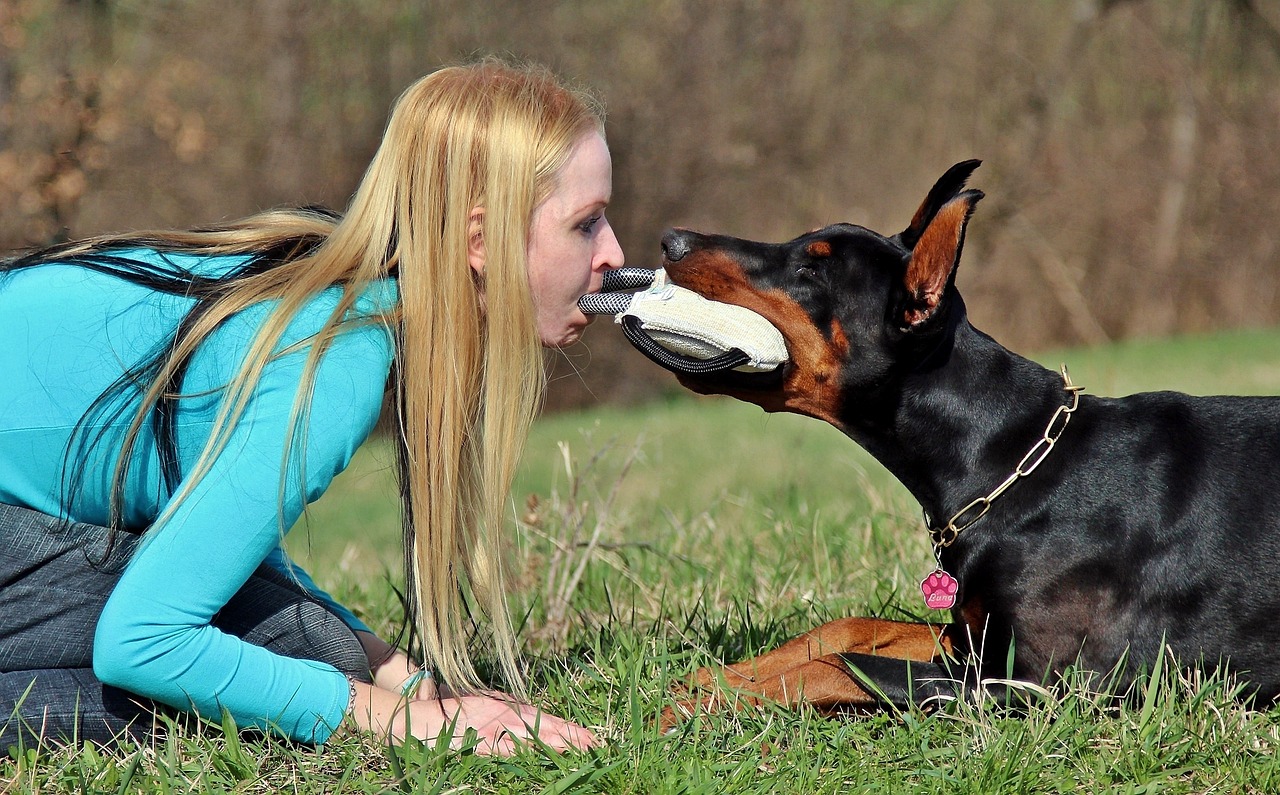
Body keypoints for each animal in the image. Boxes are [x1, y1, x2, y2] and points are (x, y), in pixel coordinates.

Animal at [655, 161, 1280, 727]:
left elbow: (840, 664)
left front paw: (689, 706)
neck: (1011, 462)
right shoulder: (969, 638)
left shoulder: (1046, 684)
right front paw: (707, 678)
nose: (671, 240)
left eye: (812, 267)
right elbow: (849, 627)